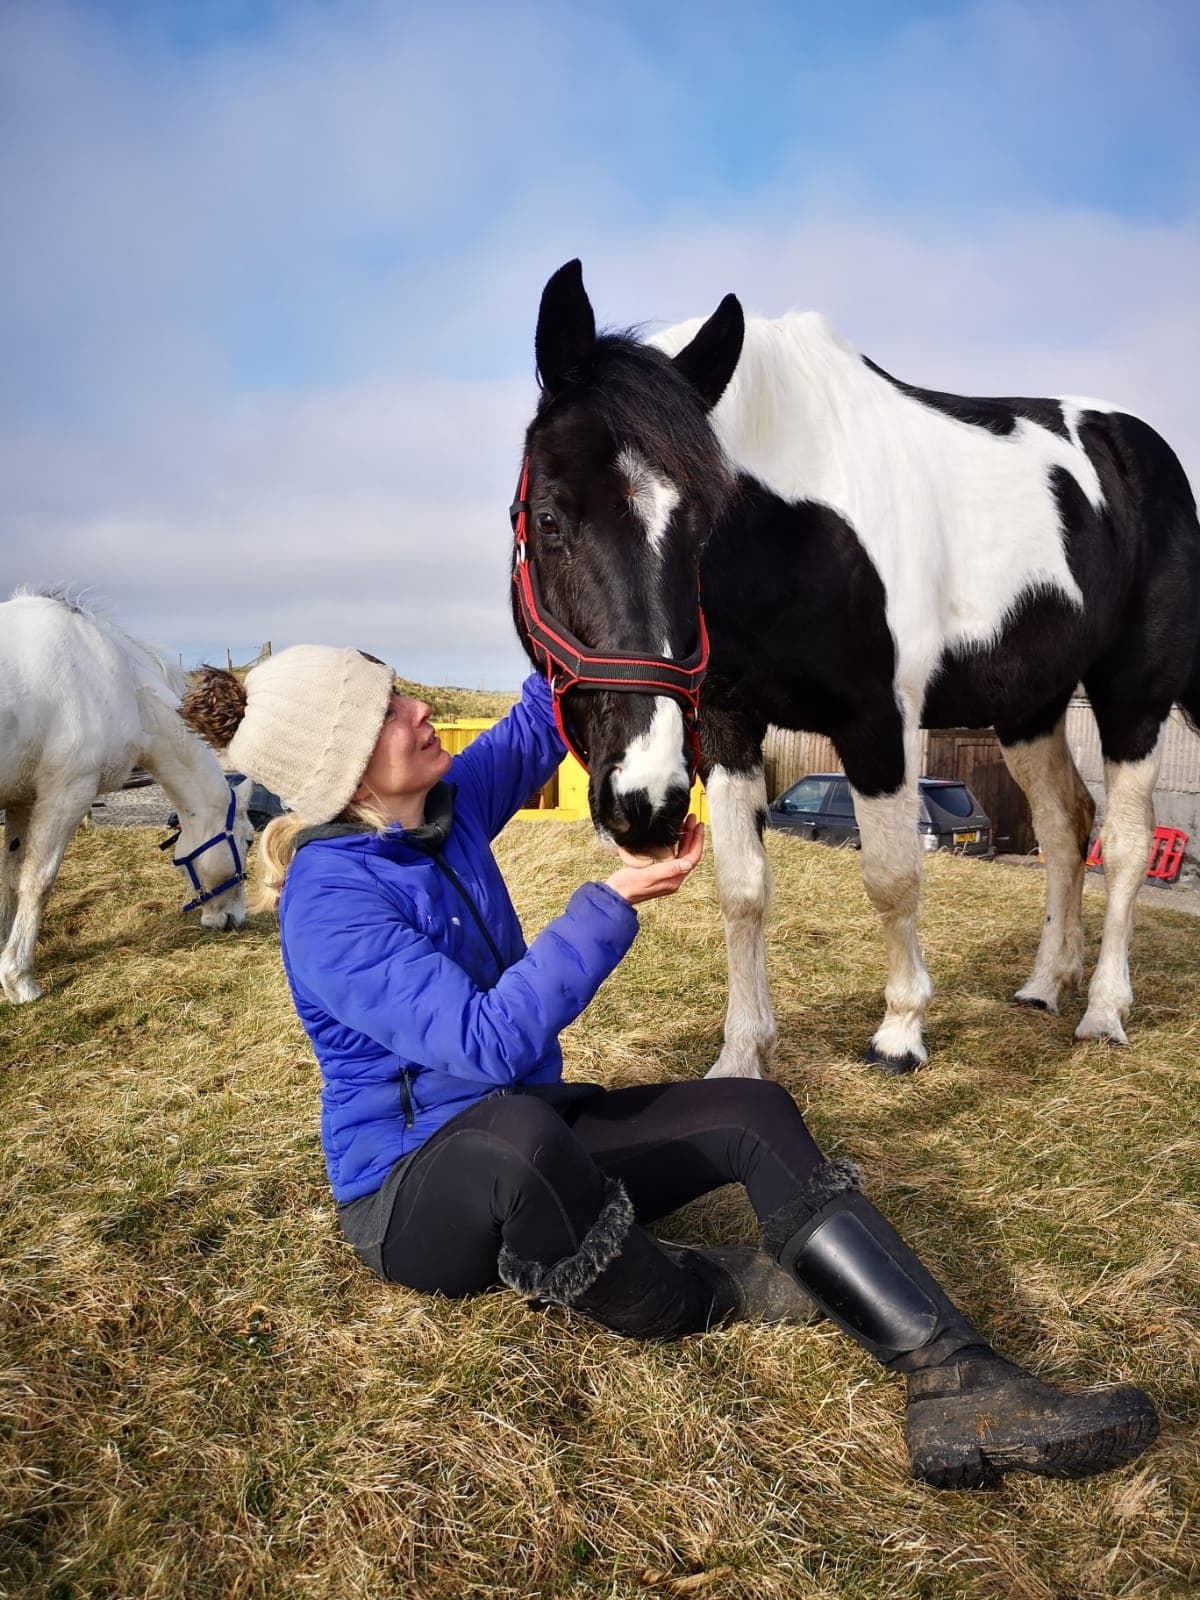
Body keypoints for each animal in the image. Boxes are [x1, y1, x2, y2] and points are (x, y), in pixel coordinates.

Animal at [0, 591, 254, 1003]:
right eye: (247, 841)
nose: (235, 919)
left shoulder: (22, 801)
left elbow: (9, 879)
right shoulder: (67, 793)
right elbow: (37, 882)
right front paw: (19, 979)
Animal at [513, 260, 1200, 1075]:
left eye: (700, 529)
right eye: (548, 518)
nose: (646, 804)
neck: (798, 531)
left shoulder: (879, 722)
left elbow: (892, 878)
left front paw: (901, 1031)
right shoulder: (728, 720)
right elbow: (743, 888)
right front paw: (743, 1051)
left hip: (1135, 699)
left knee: (1122, 846)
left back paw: (1103, 1009)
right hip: (1028, 709)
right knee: (1066, 826)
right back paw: (1044, 985)